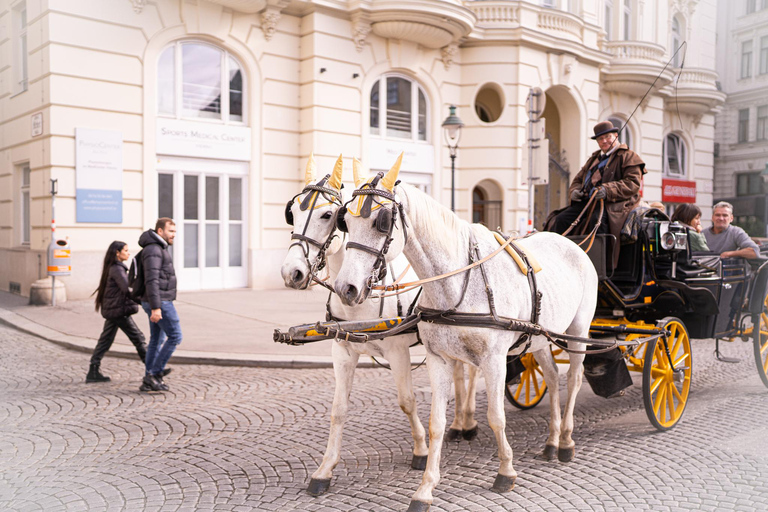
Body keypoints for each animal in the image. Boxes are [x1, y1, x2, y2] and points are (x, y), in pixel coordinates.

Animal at [280, 155, 476, 496]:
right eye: (293, 214)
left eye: (329, 215)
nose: (291, 272)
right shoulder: (342, 350)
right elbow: (338, 409)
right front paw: (324, 470)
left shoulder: (398, 351)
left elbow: (407, 401)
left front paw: (421, 450)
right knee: (461, 373)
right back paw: (460, 423)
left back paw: (468, 422)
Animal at [332, 156, 596, 512]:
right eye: (344, 220)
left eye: (381, 222)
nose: (346, 288)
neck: (457, 281)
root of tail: (572, 243)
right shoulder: (438, 359)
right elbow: (436, 423)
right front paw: (425, 488)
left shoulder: (494, 359)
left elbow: (496, 416)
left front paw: (506, 471)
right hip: (540, 337)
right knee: (554, 378)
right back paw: (552, 441)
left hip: (579, 329)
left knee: (574, 378)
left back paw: (566, 440)